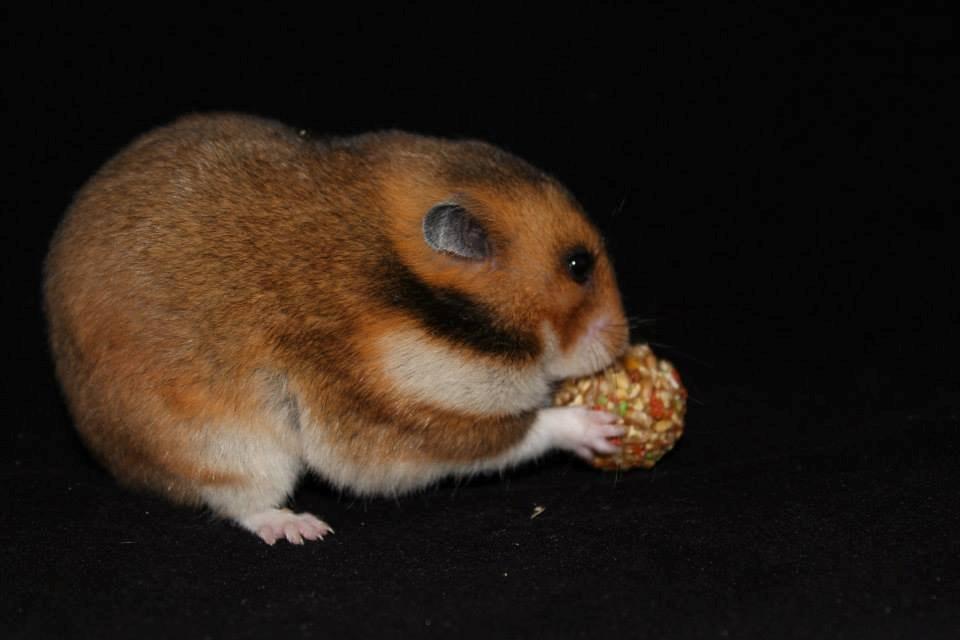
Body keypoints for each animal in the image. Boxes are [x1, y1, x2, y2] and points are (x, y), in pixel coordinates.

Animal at [44, 113, 630, 544]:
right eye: (578, 266)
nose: (622, 343)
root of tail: (111, 458)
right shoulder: (399, 421)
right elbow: (522, 431)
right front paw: (600, 426)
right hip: (229, 447)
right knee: (238, 501)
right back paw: (301, 528)